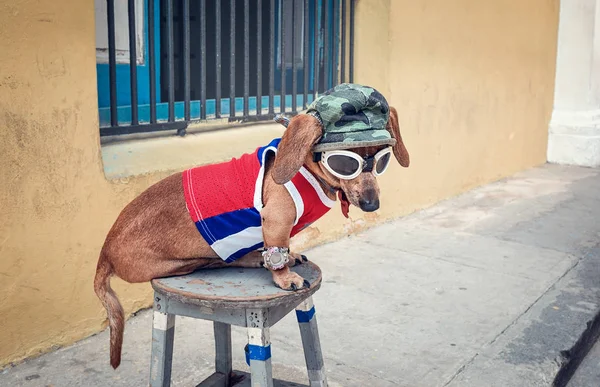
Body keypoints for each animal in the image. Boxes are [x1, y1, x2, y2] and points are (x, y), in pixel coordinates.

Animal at [94, 105, 410, 370]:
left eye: (382, 158)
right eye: (344, 162)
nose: (371, 205)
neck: (308, 168)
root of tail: (105, 251)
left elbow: (283, 248)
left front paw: (291, 256)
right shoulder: (276, 220)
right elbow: (277, 251)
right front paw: (284, 277)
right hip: (182, 263)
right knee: (218, 261)